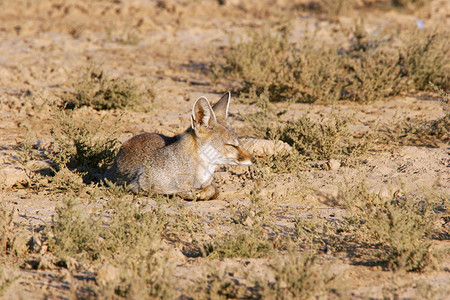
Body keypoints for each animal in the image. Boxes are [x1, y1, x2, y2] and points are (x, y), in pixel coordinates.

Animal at [103, 91, 255, 199]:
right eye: (232, 145)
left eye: (240, 143)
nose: (253, 159)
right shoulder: (140, 185)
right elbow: (175, 192)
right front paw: (191, 193)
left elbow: (213, 189)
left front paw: (203, 192)